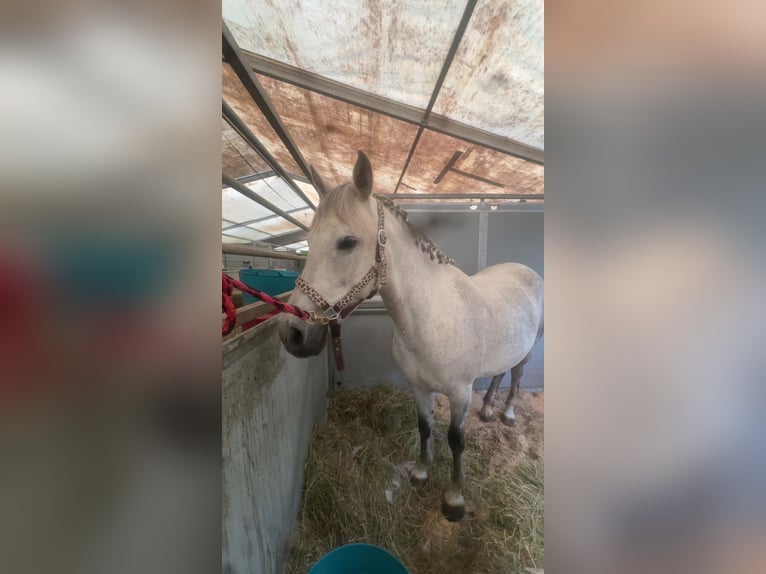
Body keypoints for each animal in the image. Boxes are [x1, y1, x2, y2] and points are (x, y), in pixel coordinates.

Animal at [278, 151, 544, 521]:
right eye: (308, 241)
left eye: (347, 242)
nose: (293, 333)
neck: (430, 318)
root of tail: (525, 270)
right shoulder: (418, 387)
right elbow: (424, 427)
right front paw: (421, 472)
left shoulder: (459, 393)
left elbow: (456, 439)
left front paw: (455, 497)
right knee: (500, 373)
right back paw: (489, 409)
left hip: (529, 350)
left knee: (516, 375)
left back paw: (506, 415)